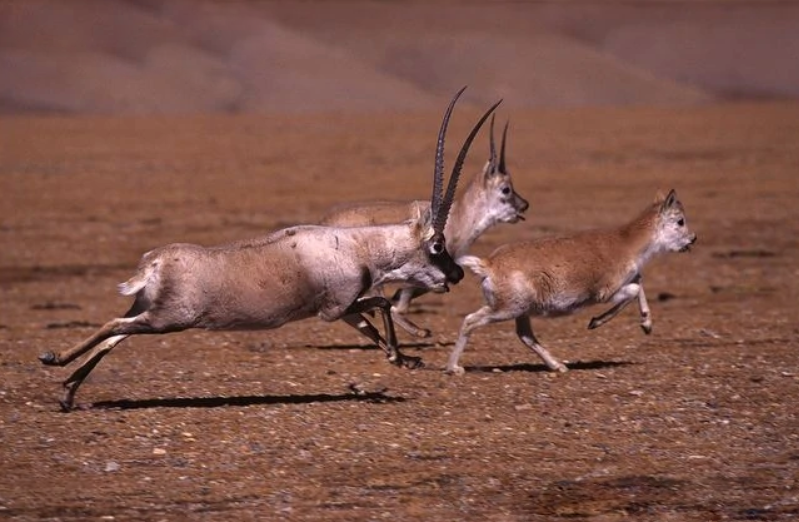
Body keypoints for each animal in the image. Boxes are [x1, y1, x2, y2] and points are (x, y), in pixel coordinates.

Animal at [446, 189, 696, 372]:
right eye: (680, 221)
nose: (693, 239)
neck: (626, 243)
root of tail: (487, 264)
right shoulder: (606, 292)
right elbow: (634, 289)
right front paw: (596, 322)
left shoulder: (629, 278)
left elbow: (640, 283)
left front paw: (647, 325)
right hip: (506, 309)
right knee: (470, 321)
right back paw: (453, 368)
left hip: (520, 311)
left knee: (525, 335)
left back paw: (558, 366)